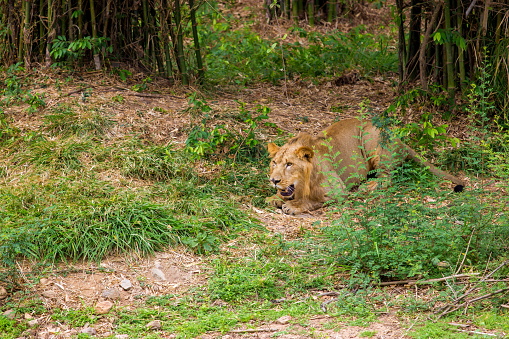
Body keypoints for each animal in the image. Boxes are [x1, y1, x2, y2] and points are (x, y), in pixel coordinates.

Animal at [266, 119, 464, 215]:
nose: (274, 180)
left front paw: (293, 205)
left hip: (371, 138)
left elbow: (313, 199)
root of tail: (399, 139)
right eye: (274, 163)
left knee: (388, 176)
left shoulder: (338, 190)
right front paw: (275, 198)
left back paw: (366, 186)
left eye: (289, 164)